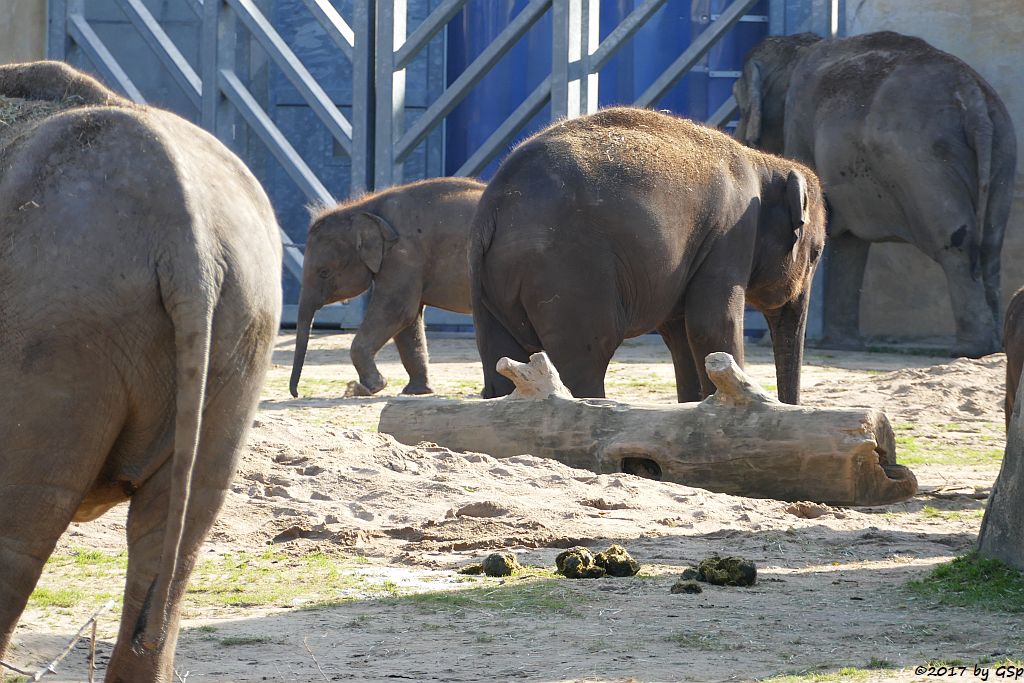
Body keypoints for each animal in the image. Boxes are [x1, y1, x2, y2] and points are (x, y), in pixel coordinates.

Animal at [288, 179, 479, 397]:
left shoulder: (404, 255)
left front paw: (368, 388)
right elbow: (409, 321)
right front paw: (415, 392)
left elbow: (397, 311)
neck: (363, 209)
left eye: (324, 272)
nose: (296, 394)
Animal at [471, 108, 823, 405]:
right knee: (586, 356)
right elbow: (712, 325)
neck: (763, 162)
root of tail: (493, 203)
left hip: (494, 287)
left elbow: (680, 335)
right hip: (567, 272)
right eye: (817, 254)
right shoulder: (730, 232)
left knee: (501, 360)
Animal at [737, 30, 1015, 358]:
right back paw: (994, 346)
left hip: (926, 165)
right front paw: (841, 345)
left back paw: (969, 350)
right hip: (1002, 151)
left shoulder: (798, 122)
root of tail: (973, 98)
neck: (799, 50)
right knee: (991, 247)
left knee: (956, 243)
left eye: (741, 106)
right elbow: (848, 240)